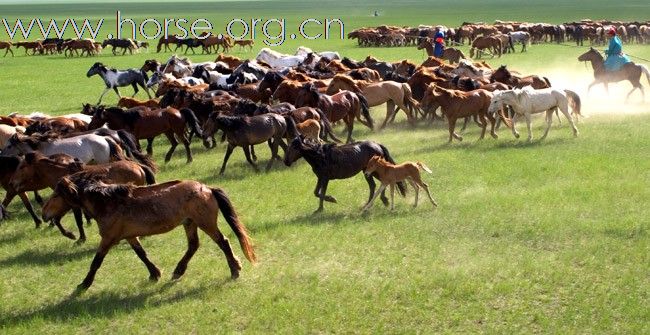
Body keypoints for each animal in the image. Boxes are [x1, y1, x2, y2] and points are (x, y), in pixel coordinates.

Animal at [10, 153, 155, 244]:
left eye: (22, 167)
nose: (12, 183)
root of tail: (138, 166)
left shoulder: (72, 205)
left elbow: (78, 221)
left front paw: (79, 238)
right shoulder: (66, 203)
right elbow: (57, 220)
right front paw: (71, 235)